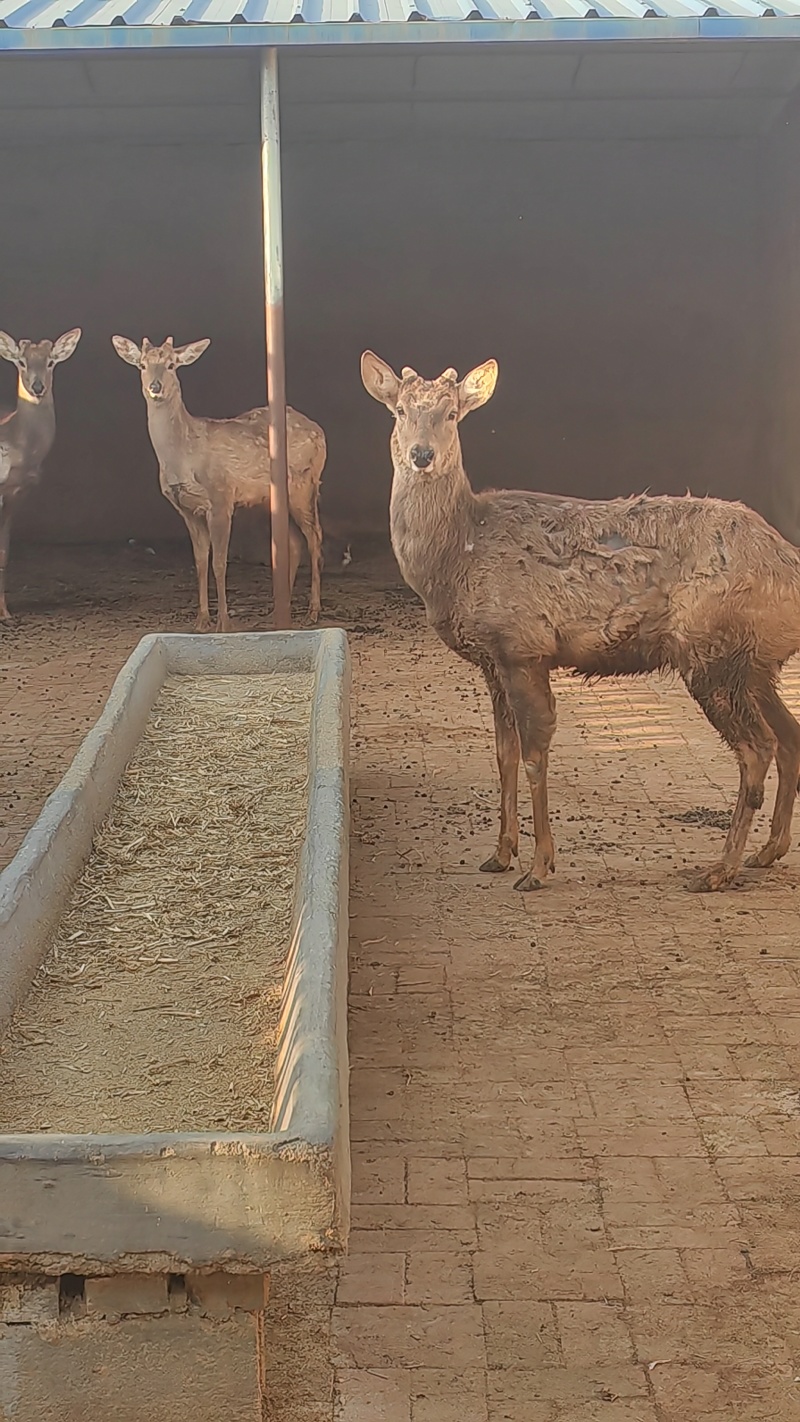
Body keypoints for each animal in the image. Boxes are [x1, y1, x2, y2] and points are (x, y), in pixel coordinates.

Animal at [0, 328, 82, 622]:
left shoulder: (16, 494)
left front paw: (5, 614)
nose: (37, 388)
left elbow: (4, 552)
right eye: (21, 362)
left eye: (50, 362)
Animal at [111, 336, 326, 630]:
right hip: (273, 497)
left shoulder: (221, 496)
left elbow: (220, 562)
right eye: (142, 365)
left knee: (315, 537)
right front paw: (201, 620)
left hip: (305, 484)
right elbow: (201, 561)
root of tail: (321, 432)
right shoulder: (187, 509)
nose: (155, 387)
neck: (182, 457)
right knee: (294, 541)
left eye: (171, 365)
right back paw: (278, 612)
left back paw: (312, 611)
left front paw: (224, 623)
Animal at [362, 350, 800, 896]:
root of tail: (788, 563)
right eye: (400, 410)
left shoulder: (523, 645)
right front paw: (499, 855)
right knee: (790, 736)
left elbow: (534, 754)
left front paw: (537, 867)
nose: (422, 454)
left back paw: (720, 869)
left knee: (758, 746)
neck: (456, 558)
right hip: (755, 662)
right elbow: (503, 754)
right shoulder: (493, 660)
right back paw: (768, 851)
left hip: (713, 650)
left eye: (451, 413)